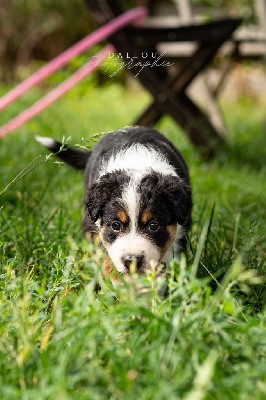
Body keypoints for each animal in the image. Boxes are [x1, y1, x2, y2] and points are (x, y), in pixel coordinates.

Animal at [36, 128, 192, 276]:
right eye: (116, 225)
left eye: (153, 226)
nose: (131, 261)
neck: (136, 162)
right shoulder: (93, 227)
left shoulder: (180, 229)